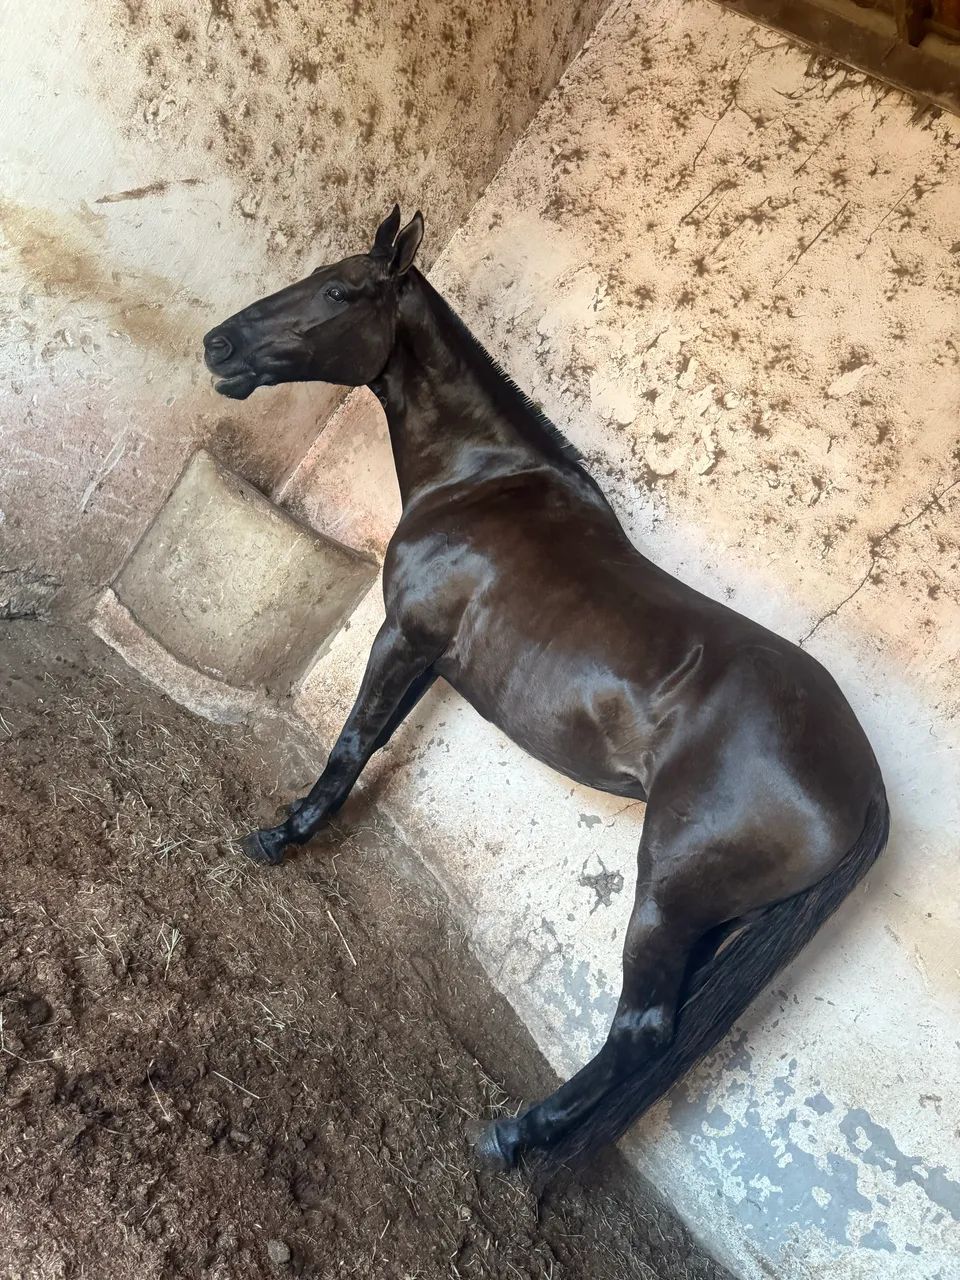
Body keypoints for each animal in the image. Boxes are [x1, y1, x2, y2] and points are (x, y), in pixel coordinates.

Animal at [202, 206, 889, 1168]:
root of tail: (861, 783)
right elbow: (374, 743)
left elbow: (351, 742)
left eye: (340, 290)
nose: (218, 346)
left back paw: (510, 1136)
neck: (482, 482)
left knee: (642, 1032)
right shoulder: (432, 658)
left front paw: (278, 838)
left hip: (666, 897)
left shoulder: (403, 636)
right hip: (708, 920)